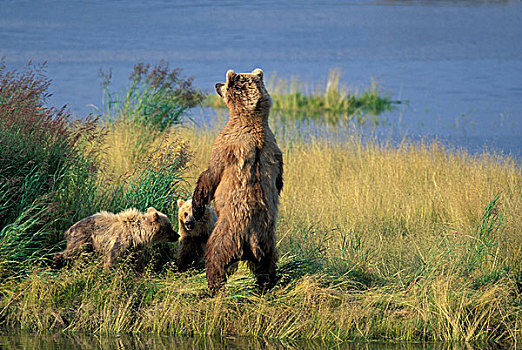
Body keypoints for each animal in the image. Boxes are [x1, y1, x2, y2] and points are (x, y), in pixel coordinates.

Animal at [191, 68, 282, 292]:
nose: (216, 84)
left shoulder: (225, 144)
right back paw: (266, 285)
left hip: (226, 234)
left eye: (225, 82)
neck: (250, 120)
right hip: (269, 241)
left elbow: (210, 174)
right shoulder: (274, 147)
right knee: (267, 266)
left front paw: (197, 207)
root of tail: (252, 238)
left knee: (215, 257)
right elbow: (279, 178)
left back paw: (213, 286)